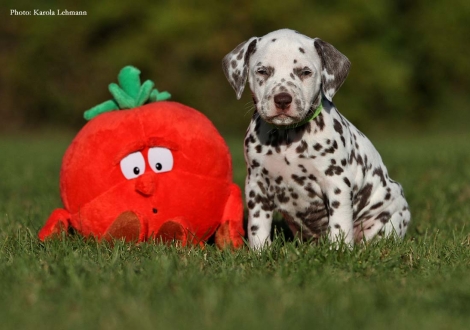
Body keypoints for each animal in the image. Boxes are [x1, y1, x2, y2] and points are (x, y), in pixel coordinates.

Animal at [222, 29, 410, 250]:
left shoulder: (336, 182)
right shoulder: (257, 185)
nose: (283, 100)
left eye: (305, 72)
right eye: (262, 71)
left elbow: (339, 223)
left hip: (389, 213)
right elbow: (258, 226)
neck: (287, 138)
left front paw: (339, 250)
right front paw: (260, 251)